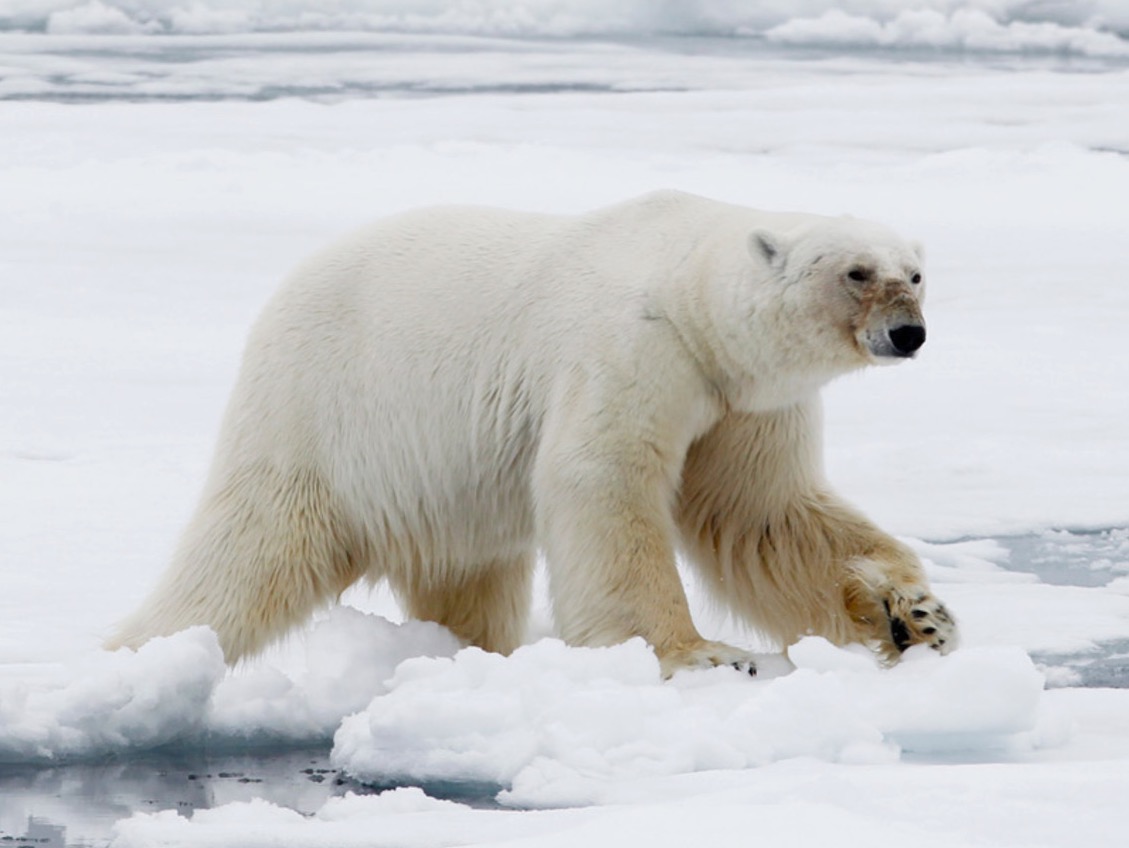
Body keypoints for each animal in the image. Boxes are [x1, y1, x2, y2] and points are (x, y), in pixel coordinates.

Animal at [106, 190, 957, 677]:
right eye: (854, 271)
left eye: (914, 273)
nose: (908, 333)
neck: (690, 298)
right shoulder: (631, 349)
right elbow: (602, 482)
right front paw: (704, 655)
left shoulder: (741, 402)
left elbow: (763, 514)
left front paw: (916, 616)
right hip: (325, 413)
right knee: (250, 555)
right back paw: (139, 661)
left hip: (445, 481)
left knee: (468, 575)